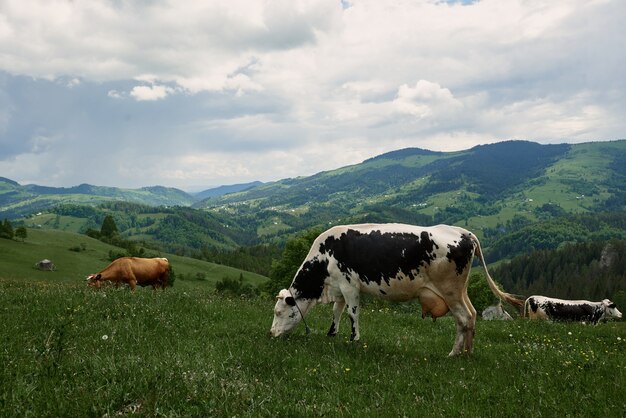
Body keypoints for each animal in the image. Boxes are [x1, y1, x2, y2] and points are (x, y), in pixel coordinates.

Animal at [268, 224, 520, 358]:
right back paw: (467, 352)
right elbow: (336, 312)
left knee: (465, 318)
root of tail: (464, 232)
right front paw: (332, 334)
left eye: (279, 312)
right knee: (472, 315)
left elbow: (352, 313)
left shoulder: (350, 285)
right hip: (460, 291)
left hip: (450, 290)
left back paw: (453, 354)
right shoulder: (339, 287)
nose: (271, 334)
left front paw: (354, 339)